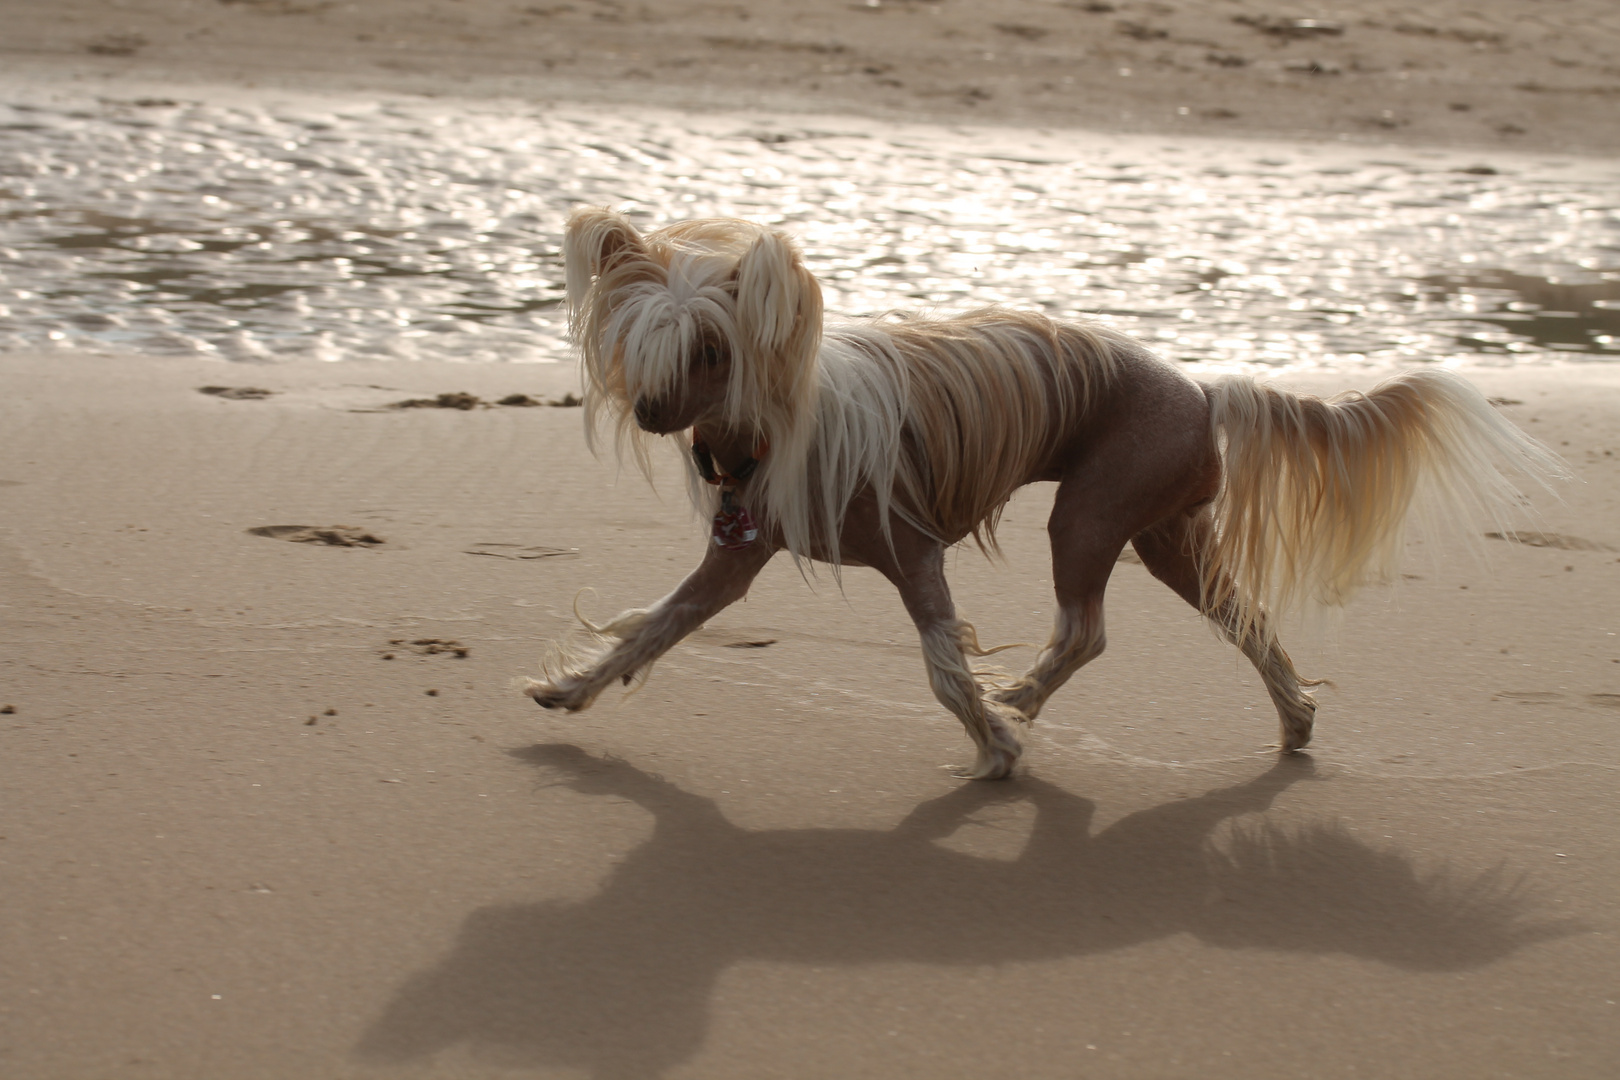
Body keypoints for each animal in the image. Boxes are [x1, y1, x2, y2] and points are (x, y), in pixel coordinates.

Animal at [524, 204, 1561, 777]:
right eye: (640, 347)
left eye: (713, 350)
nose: (653, 413)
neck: (769, 431)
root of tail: (1202, 388)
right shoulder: (733, 562)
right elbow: (654, 628)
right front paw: (573, 687)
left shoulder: (914, 553)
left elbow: (944, 667)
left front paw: (994, 746)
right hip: (1166, 536)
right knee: (1243, 617)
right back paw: (1294, 719)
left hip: (1090, 513)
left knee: (1087, 629)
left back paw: (1020, 698)